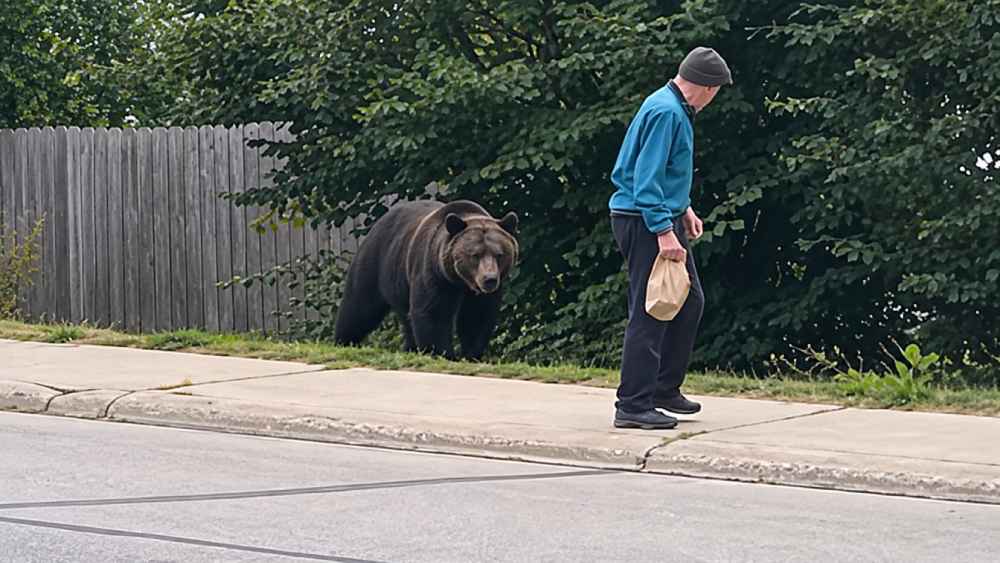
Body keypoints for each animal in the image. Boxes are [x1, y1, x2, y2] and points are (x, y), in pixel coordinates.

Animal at [333, 199, 519, 360]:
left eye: (499, 254)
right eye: (475, 255)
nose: (489, 279)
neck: (460, 282)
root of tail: (378, 223)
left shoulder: (480, 293)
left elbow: (476, 316)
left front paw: (470, 354)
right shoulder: (434, 273)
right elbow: (433, 312)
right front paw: (441, 352)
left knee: (406, 318)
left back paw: (410, 347)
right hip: (376, 261)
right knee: (360, 305)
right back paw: (344, 340)